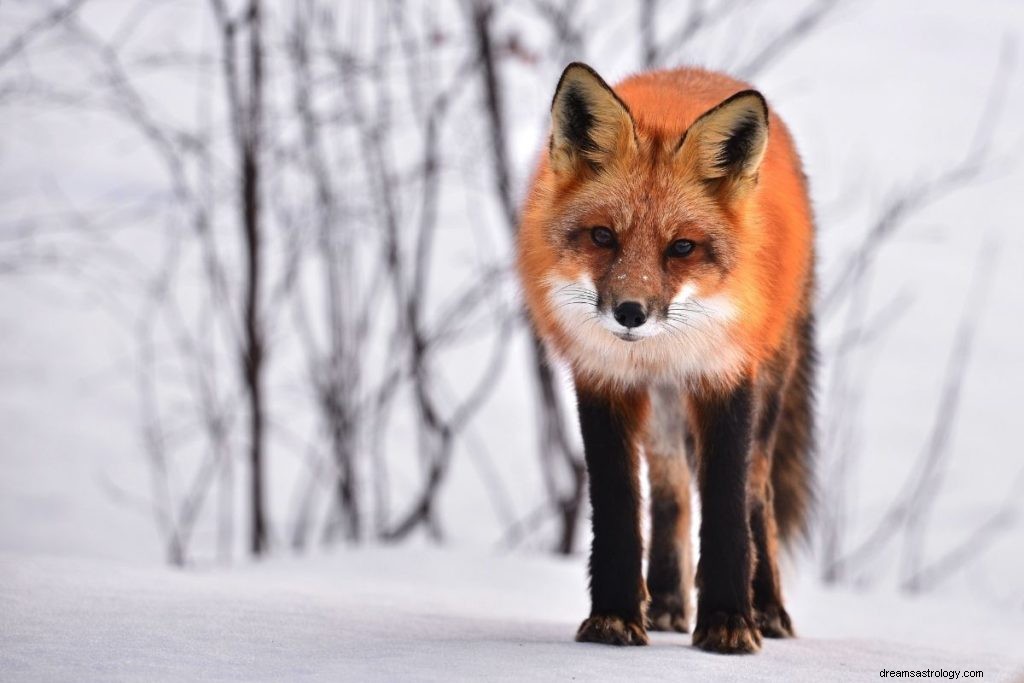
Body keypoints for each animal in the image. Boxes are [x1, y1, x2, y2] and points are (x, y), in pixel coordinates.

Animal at [520, 63, 815, 655]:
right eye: (603, 236)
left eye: (681, 247)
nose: (630, 313)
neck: (659, 349)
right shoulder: (603, 379)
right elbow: (618, 507)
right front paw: (613, 616)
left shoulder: (725, 376)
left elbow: (726, 508)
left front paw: (728, 622)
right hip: (660, 411)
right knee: (670, 491)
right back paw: (667, 603)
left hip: (768, 386)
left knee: (757, 494)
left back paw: (768, 609)